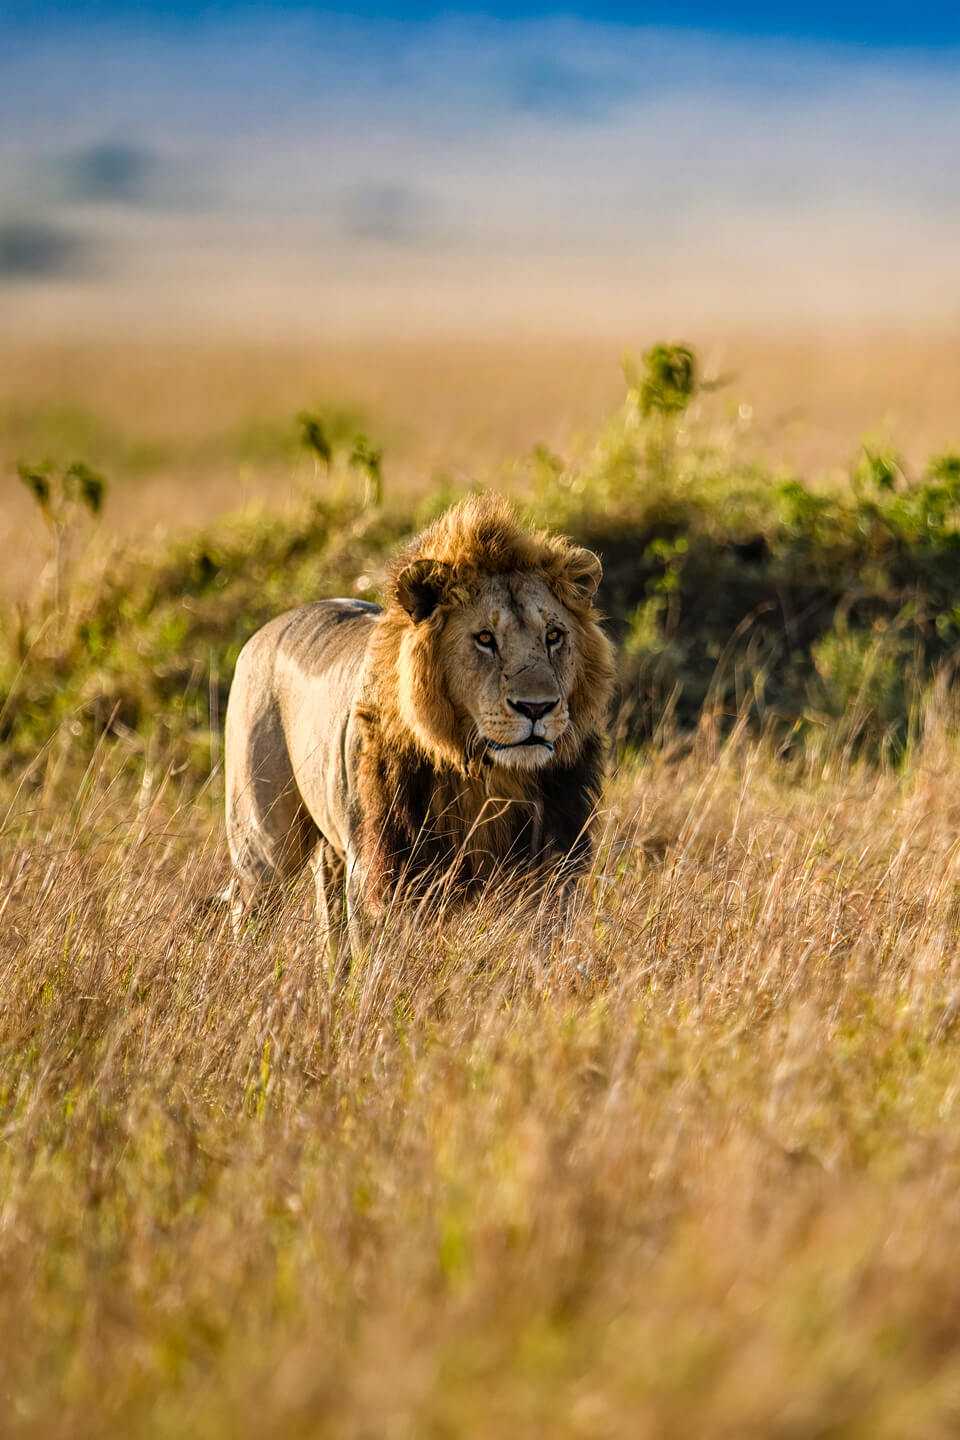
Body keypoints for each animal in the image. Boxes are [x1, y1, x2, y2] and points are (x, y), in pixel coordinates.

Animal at [224, 494, 615, 958]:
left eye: (554, 635)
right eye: (485, 639)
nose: (536, 707)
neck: (487, 774)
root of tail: (262, 633)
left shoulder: (553, 866)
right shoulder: (381, 873)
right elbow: (382, 962)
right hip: (263, 845)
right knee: (249, 909)